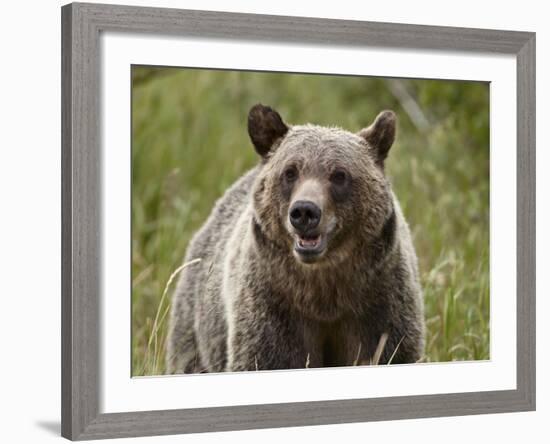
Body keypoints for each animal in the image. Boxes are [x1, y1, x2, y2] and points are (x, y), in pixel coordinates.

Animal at [168, 105, 426, 374]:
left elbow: (389, 350)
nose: (304, 211)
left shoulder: (379, 303)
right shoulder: (274, 307)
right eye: (290, 172)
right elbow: (266, 357)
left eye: (339, 174)